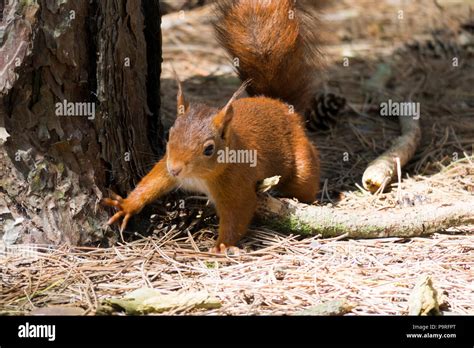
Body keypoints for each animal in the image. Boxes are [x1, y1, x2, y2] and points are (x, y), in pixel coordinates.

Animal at [103, 1, 322, 254]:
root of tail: (282, 106)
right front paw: (127, 204)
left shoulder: (237, 183)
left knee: (305, 182)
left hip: (301, 159)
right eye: (169, 136)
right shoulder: (166, 166)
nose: (176, 169)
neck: (199, 176)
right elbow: (152, 182)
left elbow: (238, 213)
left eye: (209, 149)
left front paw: (222, 246)